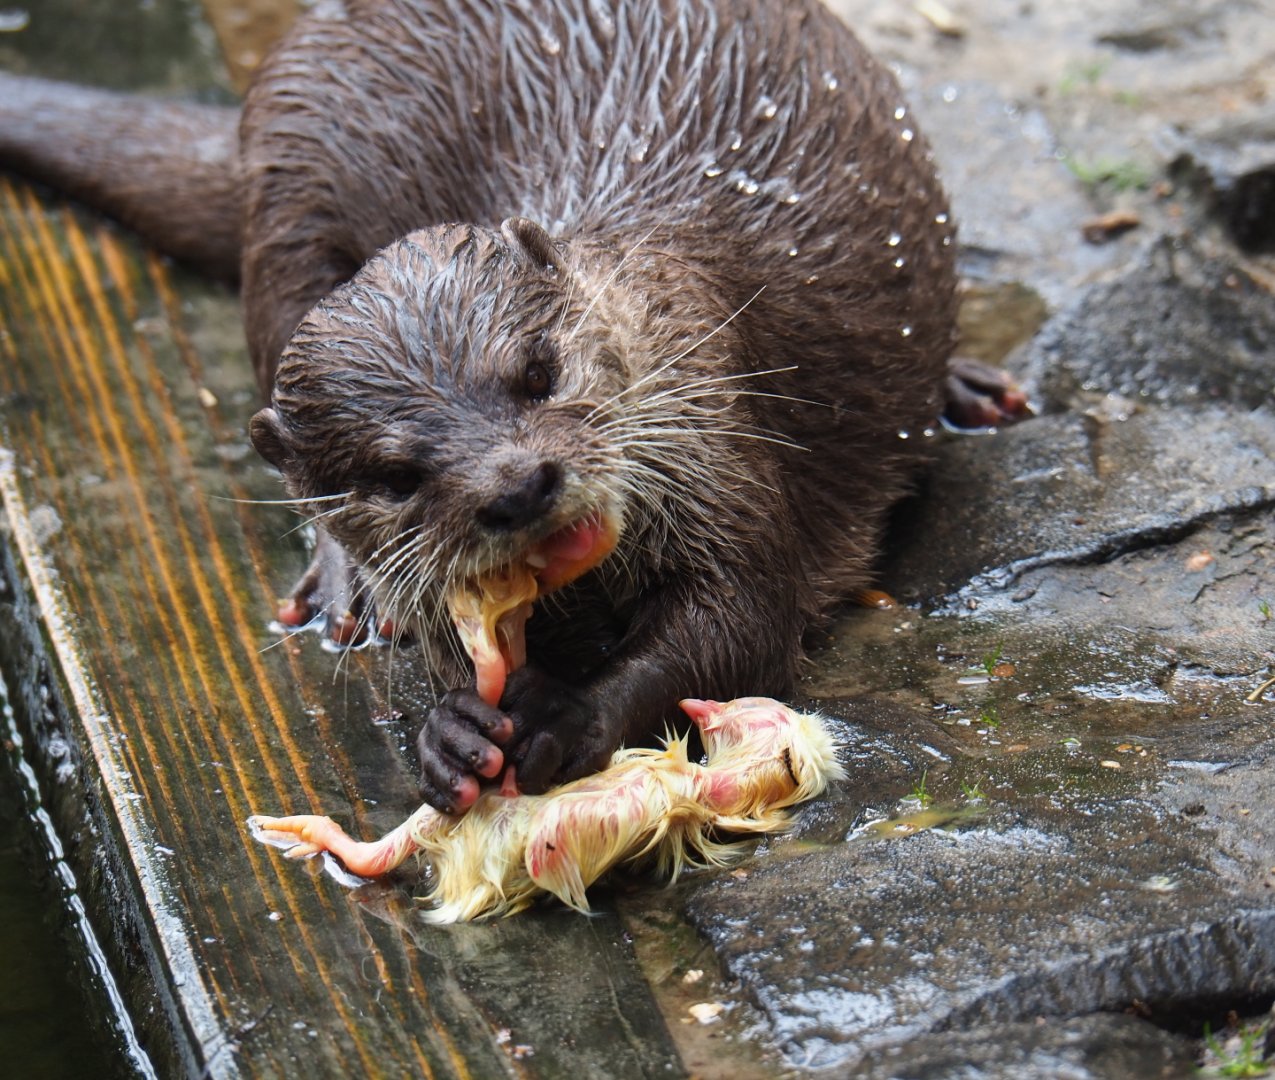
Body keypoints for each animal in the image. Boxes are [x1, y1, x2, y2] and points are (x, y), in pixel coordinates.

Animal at [0, 0, 1022, 814]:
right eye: (392, 475)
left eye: (537, 372)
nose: (519, 485)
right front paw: (448, 730)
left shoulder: (724, 451)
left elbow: (741, 615)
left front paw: (569, 710)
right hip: (285, 202)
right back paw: (348, 588)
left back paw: (965, 388)